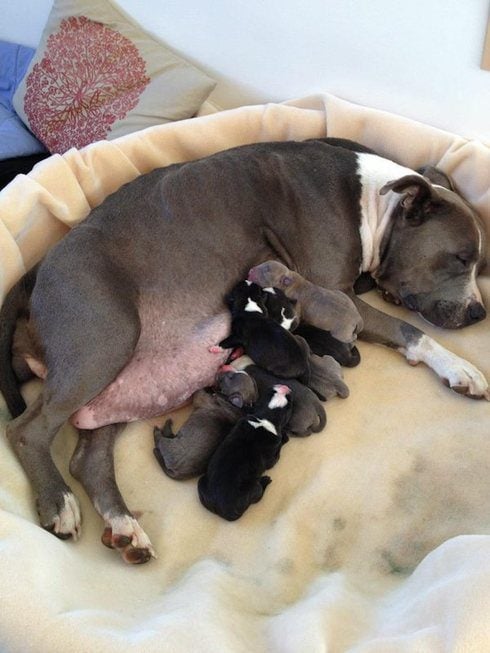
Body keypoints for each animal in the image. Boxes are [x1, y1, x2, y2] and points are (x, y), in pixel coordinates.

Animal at [198, 382, 292, 520]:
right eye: (290, 402)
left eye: (271, 392)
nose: (285, 387)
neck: (265, 417)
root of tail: (224, 511)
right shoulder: (272, 457)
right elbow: (276, 453)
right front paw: (285, 437)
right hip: (253, 489)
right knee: (258, 494)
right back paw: (265, 481)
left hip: (201, 484)